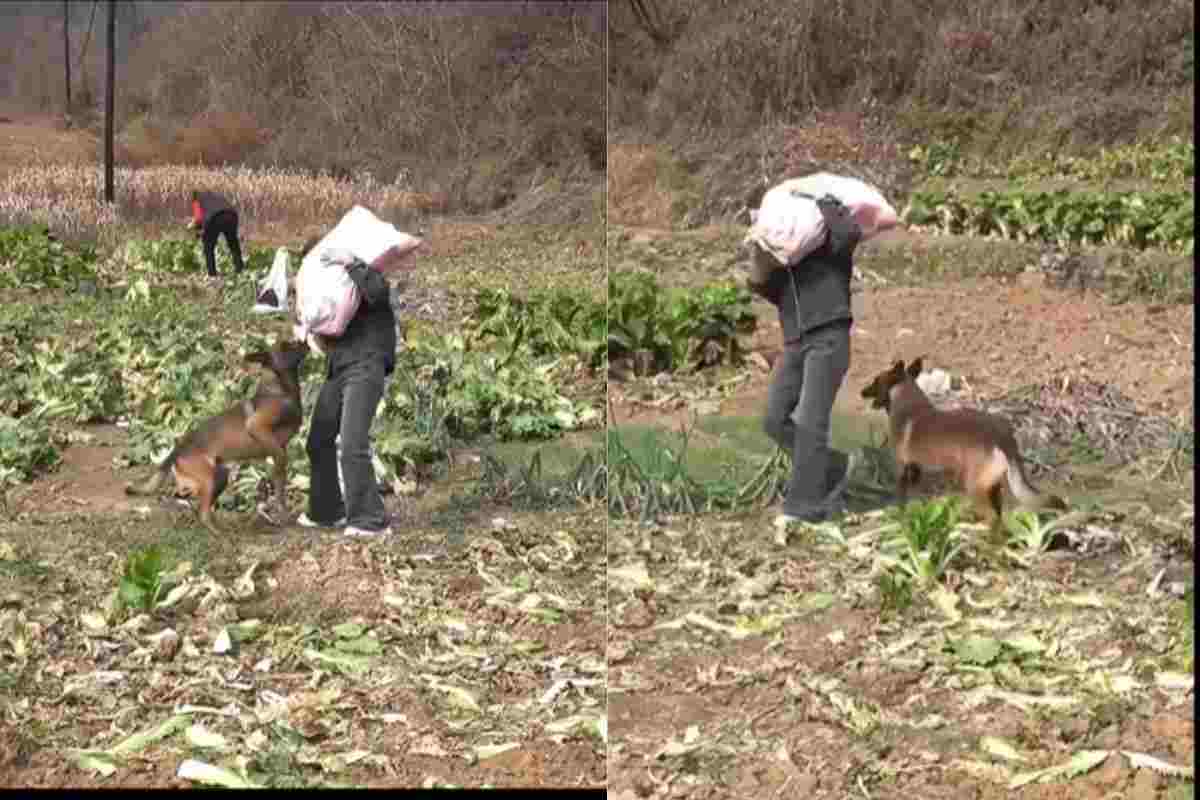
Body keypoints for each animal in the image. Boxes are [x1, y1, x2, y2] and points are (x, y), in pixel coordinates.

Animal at [122, 338, 307, 532]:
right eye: (286, 347)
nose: (303, 341)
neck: (280, 389)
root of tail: (178, 448)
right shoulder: (258, 428)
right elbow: (279, 460)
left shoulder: (280, 449)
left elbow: (280, 487)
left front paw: (281, 512)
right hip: (209, 479)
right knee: (203, 512)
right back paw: (217, 531)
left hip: (219, 478)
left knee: (192, 501)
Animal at [864, 359, 1070, 527]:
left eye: (875, 381)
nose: (861, 392)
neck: (907, 401)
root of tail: (1002, 437)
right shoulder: (916, 474)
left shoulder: (904, 471)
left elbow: (902, 501)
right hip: (993, 488)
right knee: (999, 515)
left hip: (975, 488)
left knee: (992, 518)